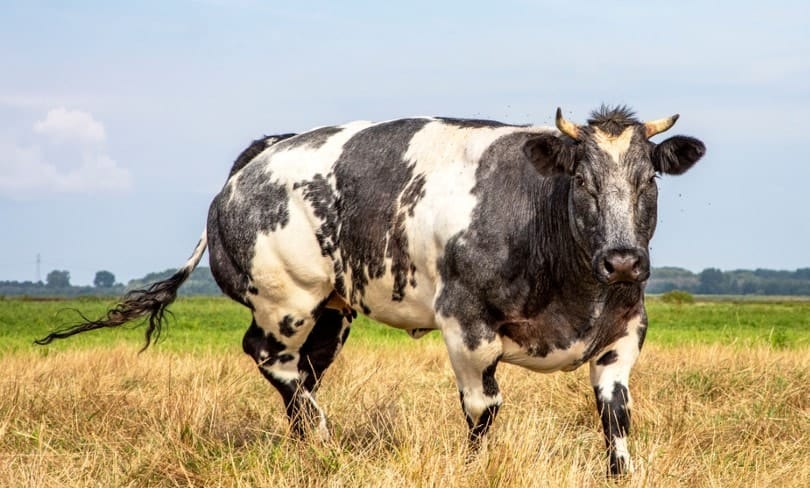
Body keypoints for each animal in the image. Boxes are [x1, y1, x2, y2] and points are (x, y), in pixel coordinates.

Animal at [36, 106, 705, 476]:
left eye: (648, 180)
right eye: (582, 181)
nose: (623, 260)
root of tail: (261, 155)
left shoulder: (623, 333)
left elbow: (616, 416)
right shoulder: (466, 326)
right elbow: (482, 411)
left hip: (332, 313)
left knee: (303, 372)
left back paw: (309, 447)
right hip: (285, 302)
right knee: (271, 359)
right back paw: (322, 443)